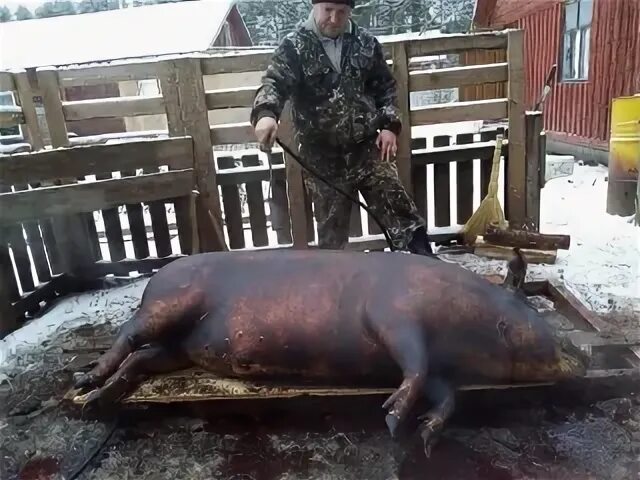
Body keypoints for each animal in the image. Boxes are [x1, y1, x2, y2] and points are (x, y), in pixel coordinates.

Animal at [72, 249, 588, 456]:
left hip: (184, 348)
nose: (578, 360)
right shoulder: (393, 317)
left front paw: (425, 436)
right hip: (168, 305)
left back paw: (102, 397)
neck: (465, 326)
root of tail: (155, 277)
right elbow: (416, 367)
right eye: (538, 323)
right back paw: (86, 384)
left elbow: (446, 394)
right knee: (128, 335)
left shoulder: (444, 370)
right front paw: (391, 419)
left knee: (142, 359)